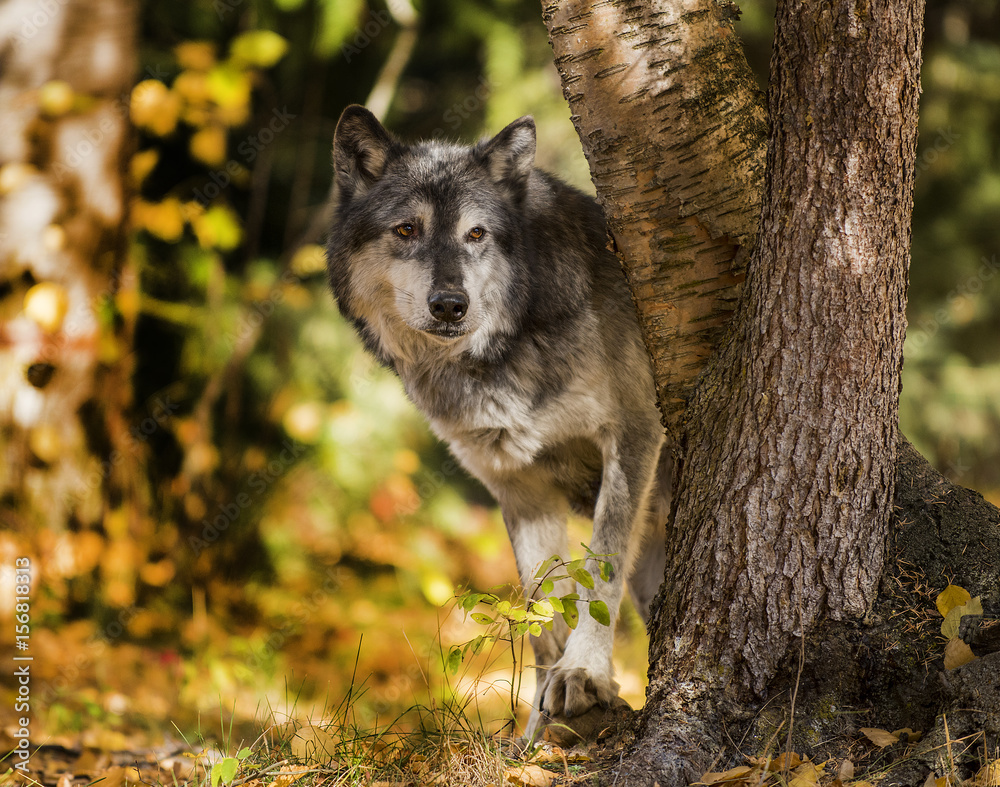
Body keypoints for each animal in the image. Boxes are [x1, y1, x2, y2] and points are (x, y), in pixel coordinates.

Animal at [326, 105, 671, 738]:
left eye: (476, 234)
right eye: (406, 230)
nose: (449, 305)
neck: (499, 354)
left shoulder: (634, 433)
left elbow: (601, 567)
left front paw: (583, 675)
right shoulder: (519, 486)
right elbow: (542, 612)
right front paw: (537, 732)